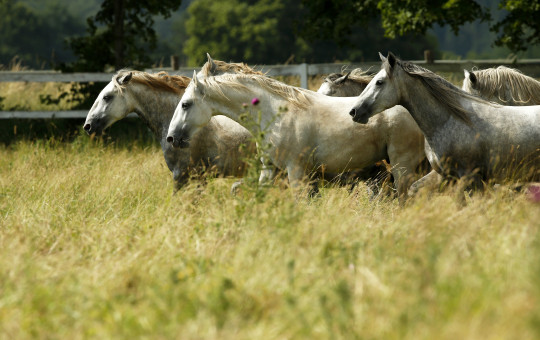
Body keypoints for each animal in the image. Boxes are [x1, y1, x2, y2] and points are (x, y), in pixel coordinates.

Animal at [167, 71, 428, 197]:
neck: (276, 114)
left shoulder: (296, 170)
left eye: (186, 104)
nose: (171, 138)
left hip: (402, 166)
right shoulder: (270, 169)